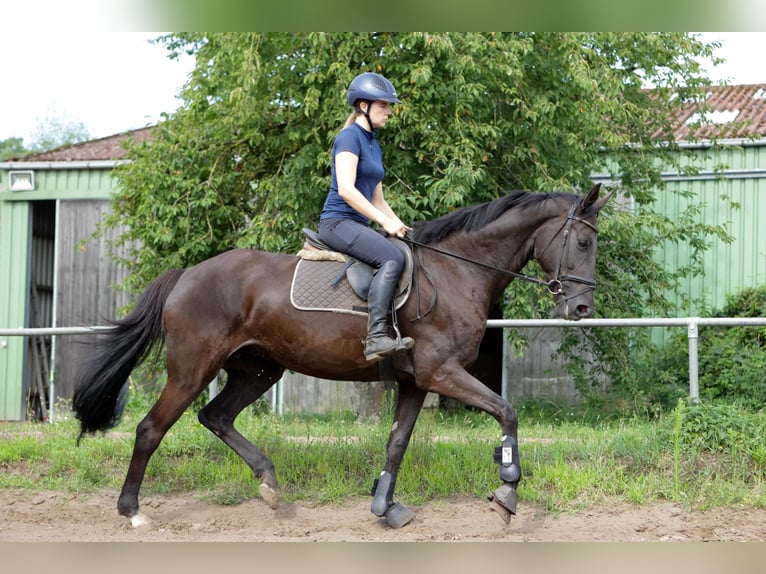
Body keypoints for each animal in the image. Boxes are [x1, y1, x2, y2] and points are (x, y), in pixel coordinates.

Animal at [72, 184, 612, 532]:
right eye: (584, 241)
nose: (581, 309)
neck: (456, 272)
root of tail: (187, 274)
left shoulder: (416, 381)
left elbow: (397, 443)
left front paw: (385, 508)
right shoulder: (442, 372)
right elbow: (507, 412)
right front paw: (507, 493)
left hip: (259, 369)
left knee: (216, 416)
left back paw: (270, 485)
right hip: (191, 369)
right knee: (152, 429)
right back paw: (132, 510)